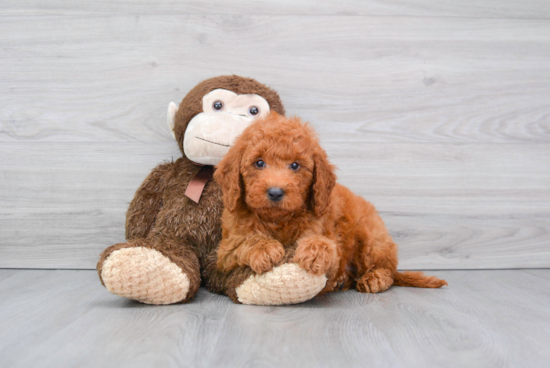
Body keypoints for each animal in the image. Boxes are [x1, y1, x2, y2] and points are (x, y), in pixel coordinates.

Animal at [213, 110, 446, 294]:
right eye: (259, 163)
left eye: (295, 165)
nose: (276, 192)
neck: (278, 220)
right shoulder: (225, 251)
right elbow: (246, 241)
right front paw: (264, 249)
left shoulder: (325, 232)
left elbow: (329, 246)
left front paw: (315, 251)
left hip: (372, 239)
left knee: (387, 268)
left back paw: (374, 278)